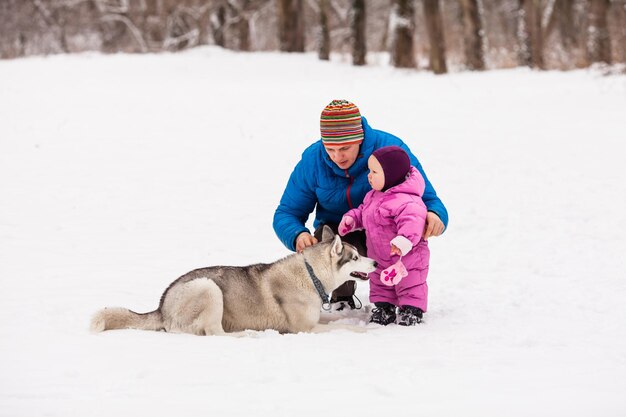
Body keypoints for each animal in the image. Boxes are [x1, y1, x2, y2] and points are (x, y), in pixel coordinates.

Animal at [91, 228, 376, 334]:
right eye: (355, 257)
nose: (374, 263)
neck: (310, 273)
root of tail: (162, 306)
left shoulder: (316, 318)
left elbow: (335, 320)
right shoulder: (303, 329)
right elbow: (342, 328)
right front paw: (365, 330)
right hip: (208, 287)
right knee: (214, 334)